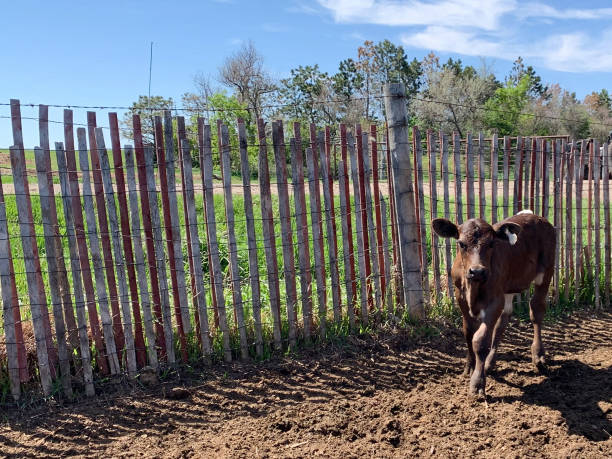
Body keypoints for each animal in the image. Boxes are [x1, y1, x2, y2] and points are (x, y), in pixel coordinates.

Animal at [432, 211, 556, 396]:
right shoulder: (461, 298)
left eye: (491, 244)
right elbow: (468, 333)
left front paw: (477, 383)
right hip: (508, 287)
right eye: (461, 244)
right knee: (503, 321)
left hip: (546, 272)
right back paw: (489, 363)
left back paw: (538, 355)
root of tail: (534, 215)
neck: (473, 287)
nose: (477, 271)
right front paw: (470, 368)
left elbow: (480, 340)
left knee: (536, 311)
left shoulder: (494, 300)